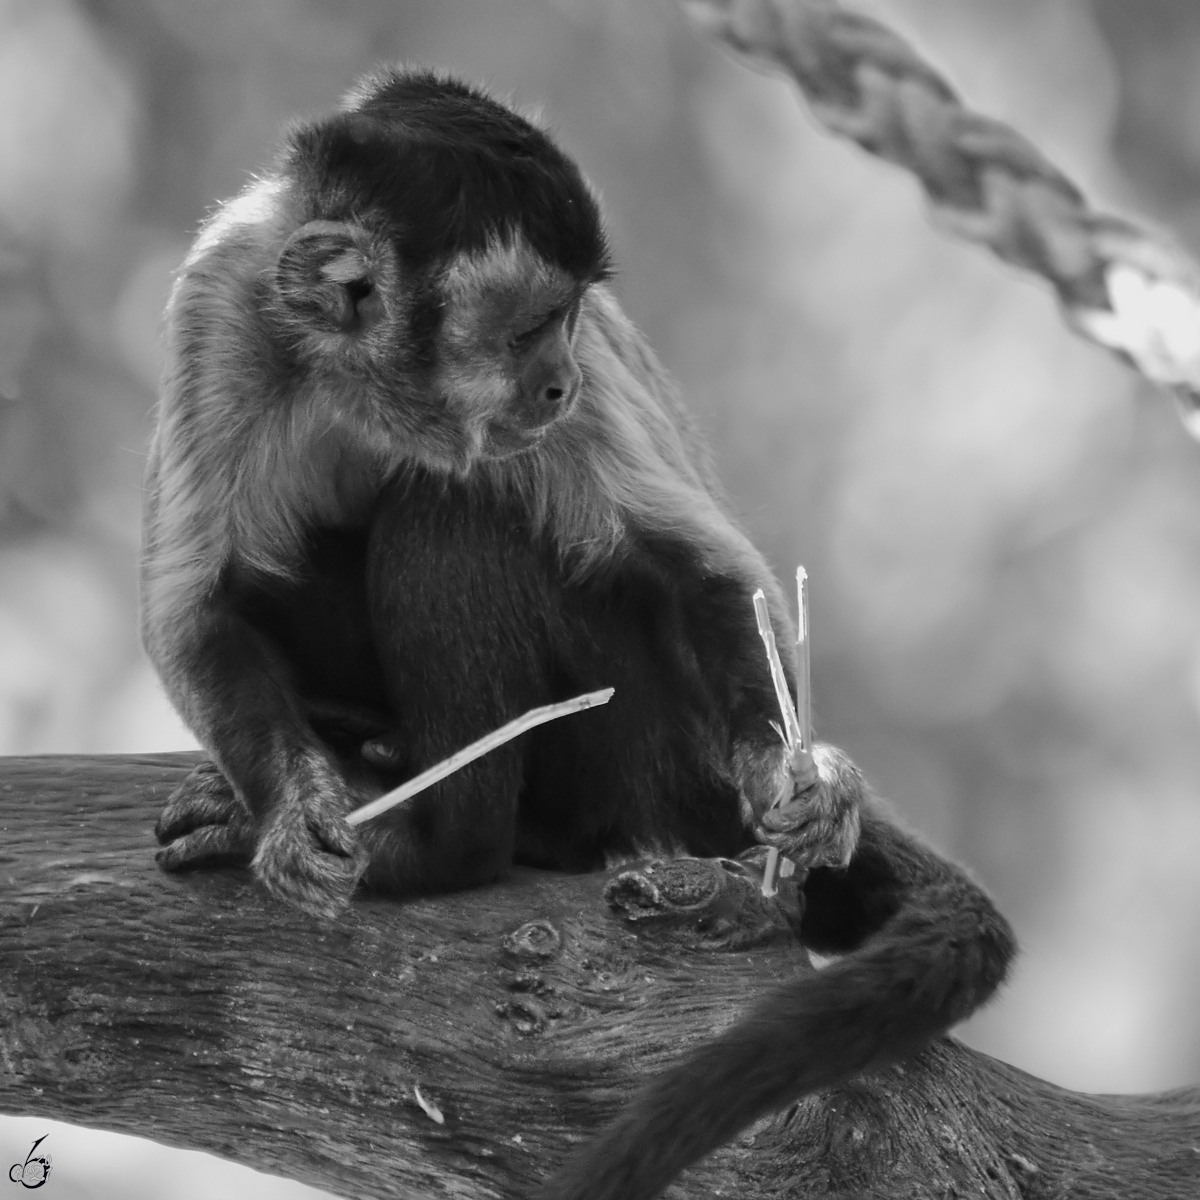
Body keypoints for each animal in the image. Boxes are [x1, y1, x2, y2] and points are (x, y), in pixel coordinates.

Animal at [145, 68, 1017, 1200]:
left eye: (568, 320)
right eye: (532, 328)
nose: (560, 380)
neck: (368, 386)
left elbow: (696, 575)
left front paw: (801, 777)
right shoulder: (224, 299)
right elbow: (199, 609)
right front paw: (293, 809)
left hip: (651, 748)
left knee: (453, 510)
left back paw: (453, 842)